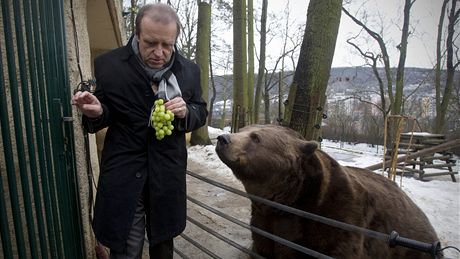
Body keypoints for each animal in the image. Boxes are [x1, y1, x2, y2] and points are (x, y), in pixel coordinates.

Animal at [216, 125, 442, 259]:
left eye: (256, 137)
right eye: (243, 128)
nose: (223, 138)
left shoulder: (339, 219)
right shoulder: (265, 222)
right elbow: (263, 248)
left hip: (412, 247)